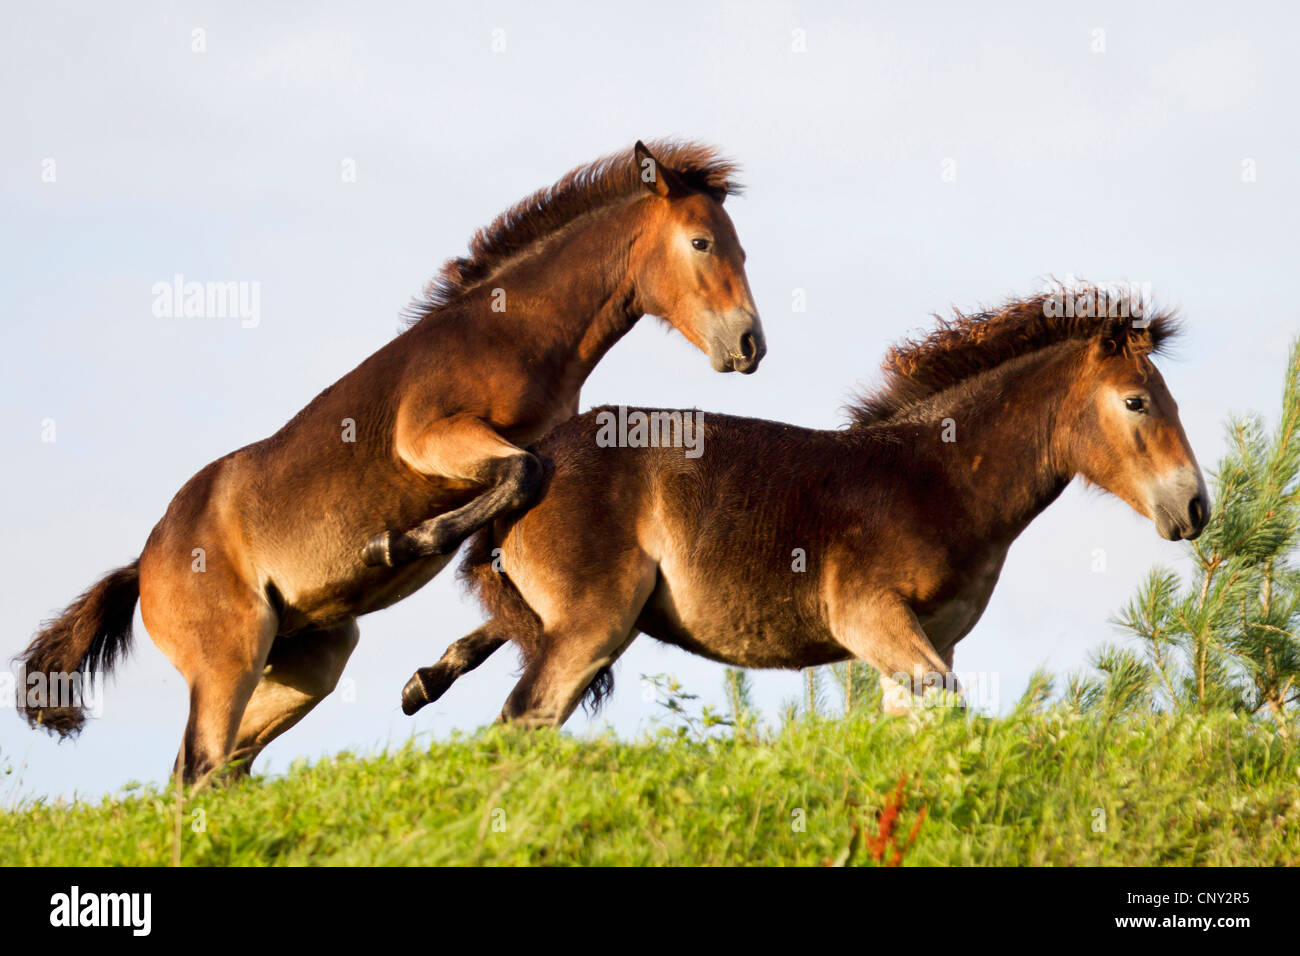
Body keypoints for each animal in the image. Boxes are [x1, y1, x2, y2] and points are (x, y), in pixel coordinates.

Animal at [20, 138, 764, 780]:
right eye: (701, 242)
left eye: (741, 249)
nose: (750, 344)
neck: (512, 331)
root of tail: (143, 567)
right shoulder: (435, 438)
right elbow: (520, 481)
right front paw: (396, 547)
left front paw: (426, 678)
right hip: (227, 661)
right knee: (197, 767)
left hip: (304, 665)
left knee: (218, 766)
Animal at [403, 291, 1206, 723]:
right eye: (1137, 402)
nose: (1195, 507)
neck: (937, 478)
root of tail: (539, 461)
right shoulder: (871, 619)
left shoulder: (924, 644)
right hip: (596, 621)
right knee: (526, 714)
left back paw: (425, 676)